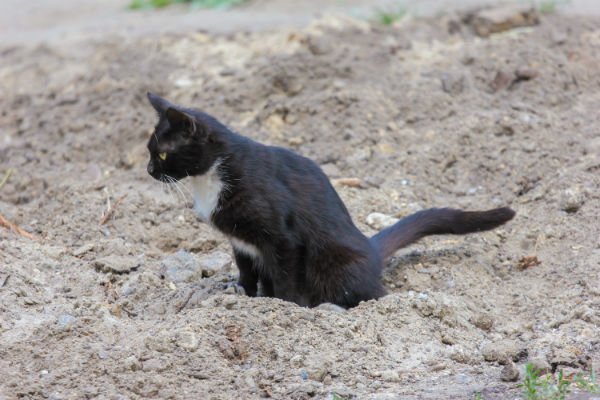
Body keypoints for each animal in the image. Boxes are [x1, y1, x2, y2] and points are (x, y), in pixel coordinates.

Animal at [145, 92, 516, 308]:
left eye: (162, 153)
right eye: (149, 150)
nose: (148, 170)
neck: (209, 177)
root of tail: (370, 250)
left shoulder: (284, 239)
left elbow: (286, 279)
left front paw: (284, 308)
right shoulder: (241, 242)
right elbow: (247, 273)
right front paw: (244, 296)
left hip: (335, 262)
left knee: (370, 295)